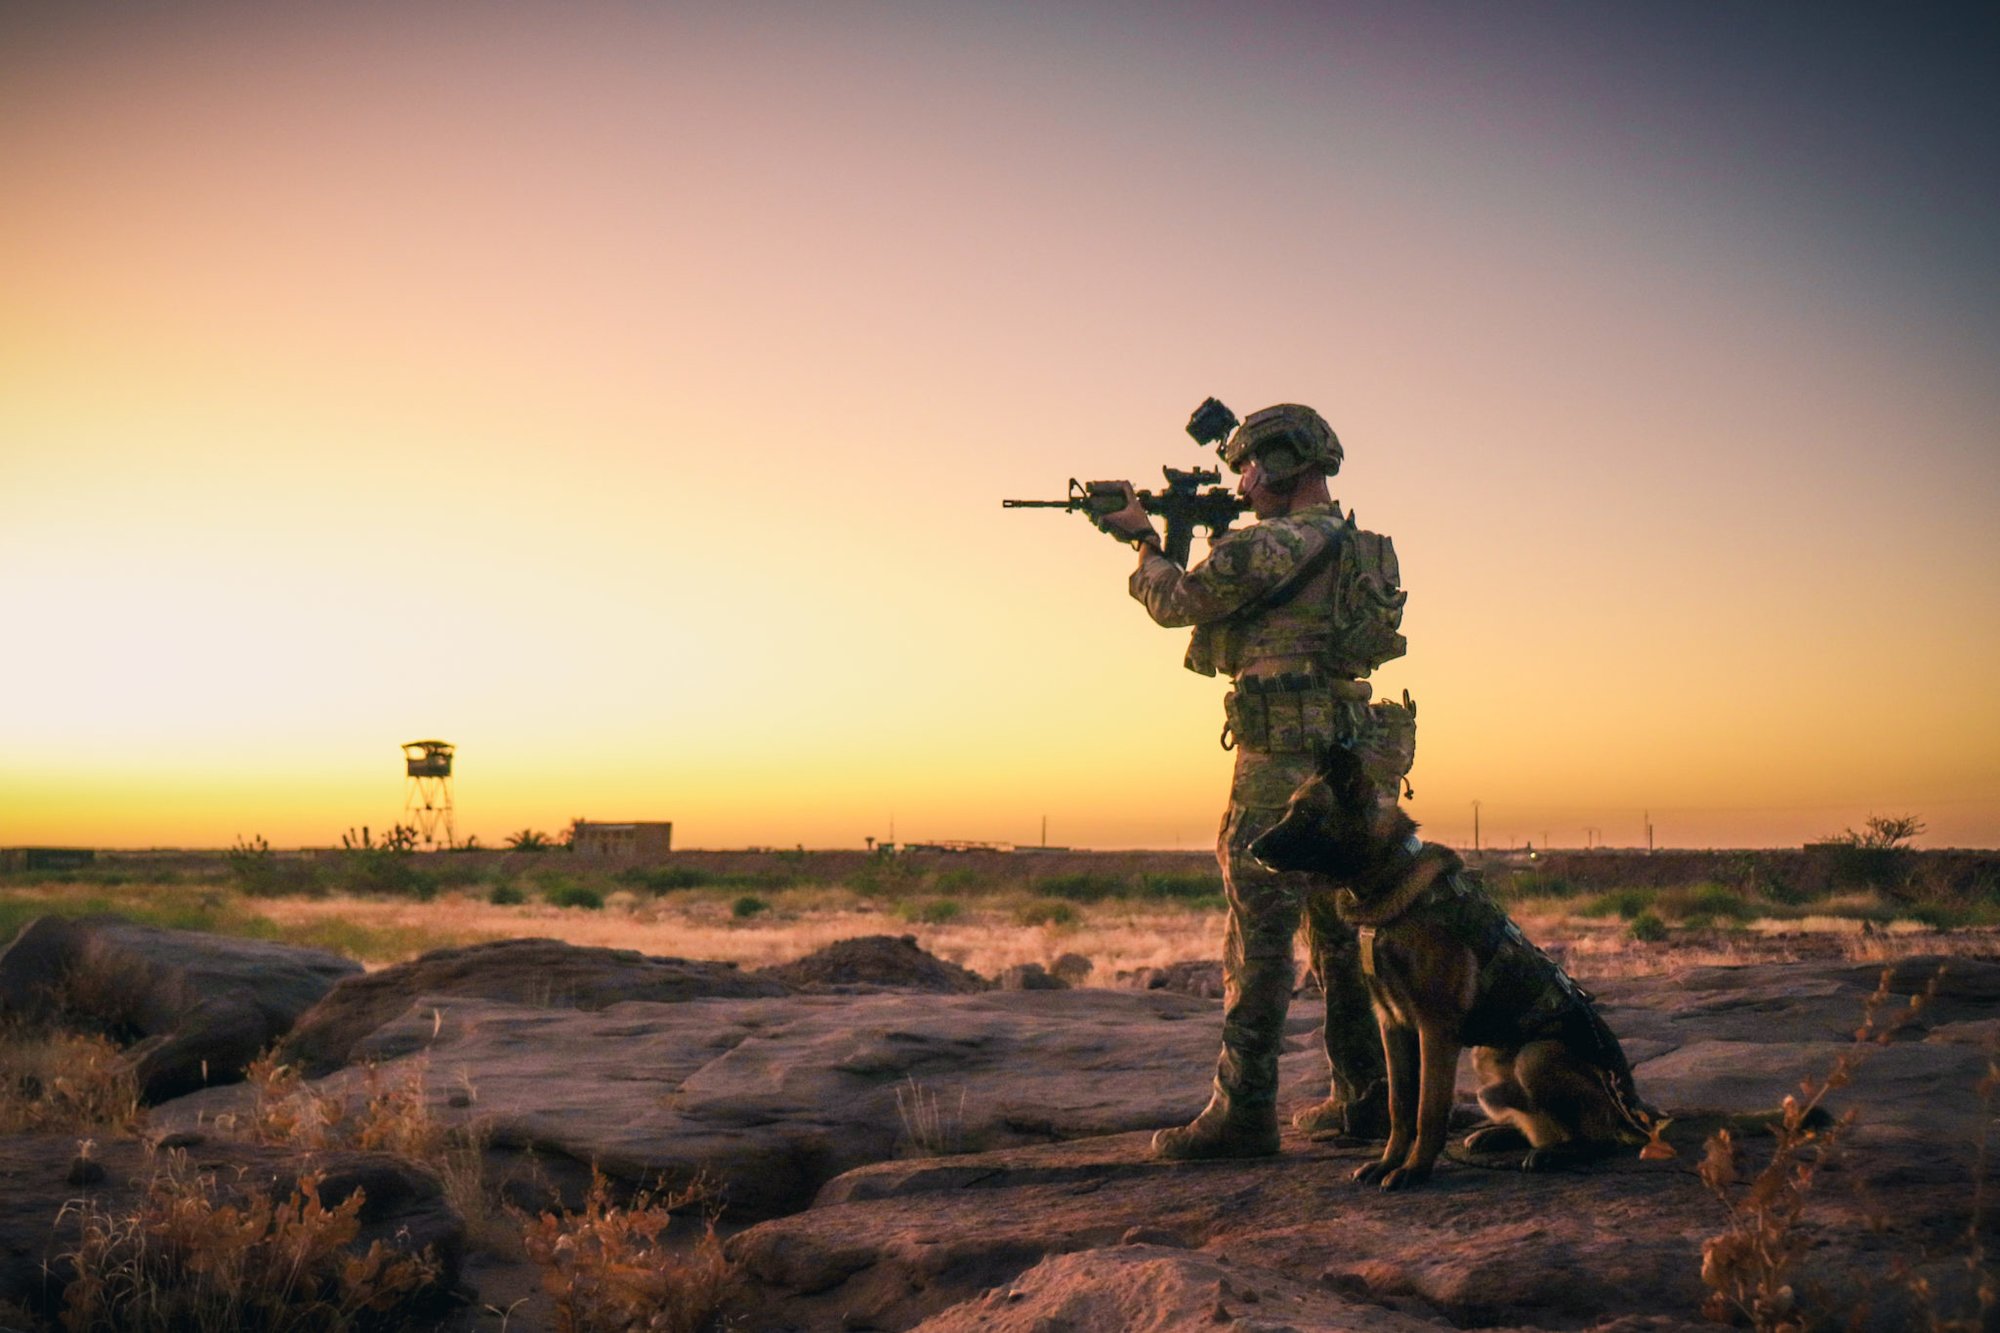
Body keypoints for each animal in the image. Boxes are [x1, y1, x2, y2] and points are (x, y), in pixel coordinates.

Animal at [1248, 740, 1656, 1184]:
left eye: (1306, 813)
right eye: (1288, 809)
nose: (1252, 848)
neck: (1388, 880)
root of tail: (1633, 1108)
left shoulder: (1435, 1027)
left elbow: (1428, 1109)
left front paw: (1414, 1170)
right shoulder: (1392, 1026)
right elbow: (1399, 1107)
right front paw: (1388, 1162)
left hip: (1535, 1057)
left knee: (1598, 1134)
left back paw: (1559, 1153)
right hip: (1487, 1067)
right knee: (1544, 1128)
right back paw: (1500, 1136)